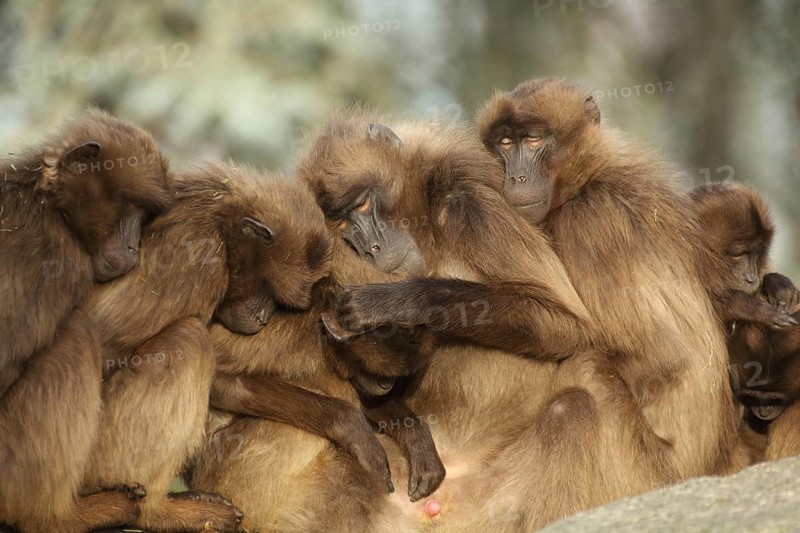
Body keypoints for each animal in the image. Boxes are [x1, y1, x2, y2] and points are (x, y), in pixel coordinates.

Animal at [0, 109, 173, 533]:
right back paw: (54, 517)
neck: (46, 202)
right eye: (132, 207)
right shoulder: (58, 259)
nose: (133, 246)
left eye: (146, 216)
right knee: (74, 335)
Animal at [80, 161, 332, 532]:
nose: (262, 317)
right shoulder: (200, 263)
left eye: (280, 303)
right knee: (189, 340)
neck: (219, 217)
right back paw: (156, 512)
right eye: (269, 291)